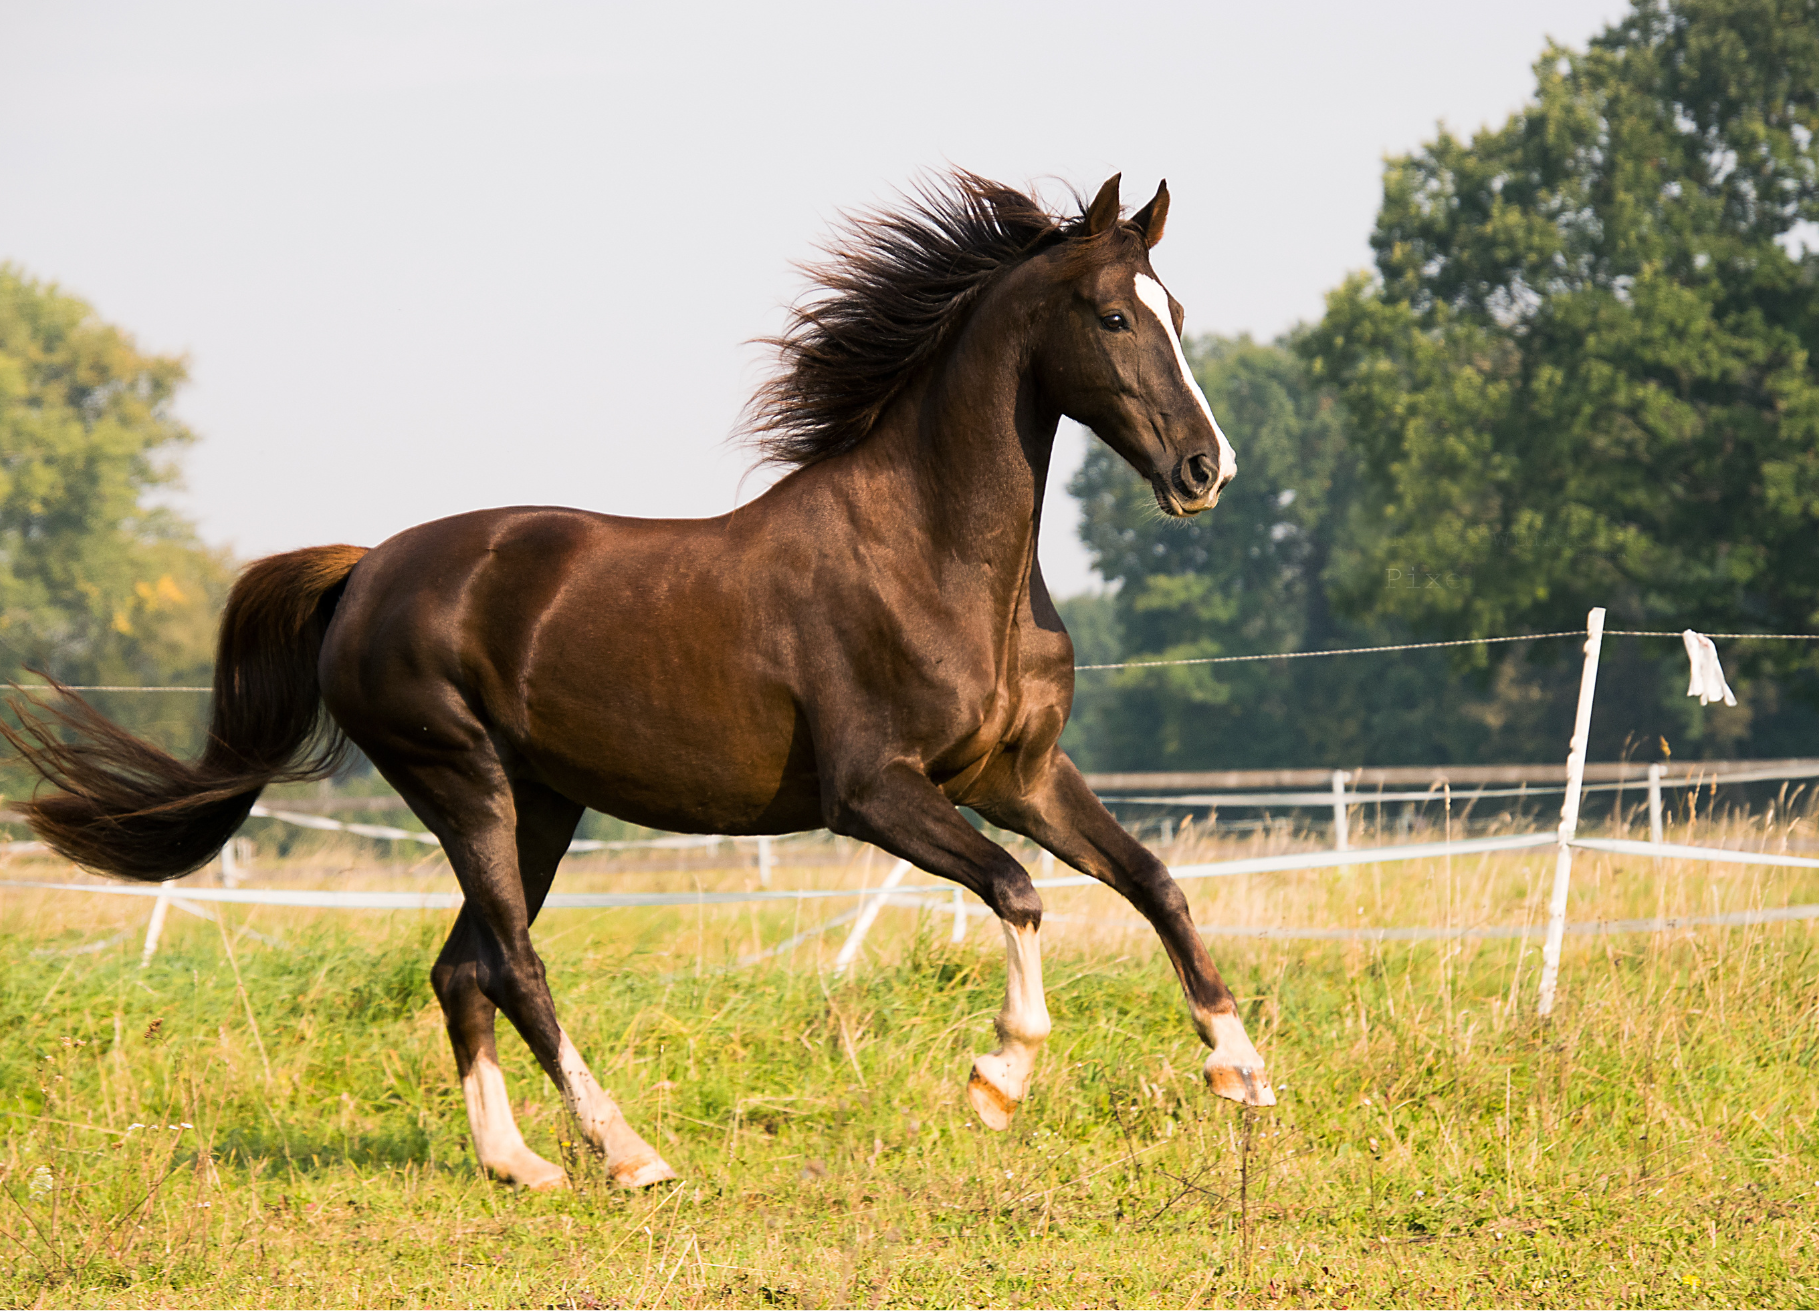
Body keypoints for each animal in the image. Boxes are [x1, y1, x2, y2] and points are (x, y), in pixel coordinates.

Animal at [5, 171, 1273, 1191]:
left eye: (1176, 312)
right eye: (1112, 314)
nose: (1204, 471)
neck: (933, 559)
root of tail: (366, 570)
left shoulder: (1019, 774)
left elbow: (1153, 881)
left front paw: (1241, 1070)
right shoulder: (874, 793)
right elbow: (1017, 891)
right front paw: (998, 1078)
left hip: (542, 803)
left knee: (460, 967)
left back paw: (518, 1165)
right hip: (461, 781)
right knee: (513, 964)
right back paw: (628, 1154)